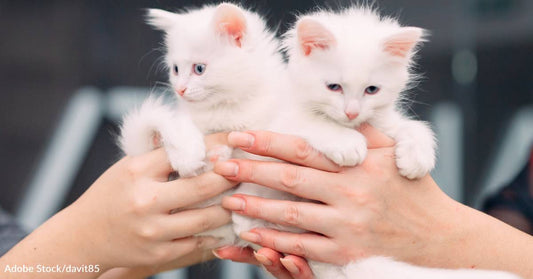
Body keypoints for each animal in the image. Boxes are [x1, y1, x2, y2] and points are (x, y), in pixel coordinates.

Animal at [119, 3, 286, 245]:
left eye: (199, 69)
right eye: (175, 69)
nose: (180, 89)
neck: (225, 109)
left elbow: (260, 173)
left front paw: (246, 214)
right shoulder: (186, 116)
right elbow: (175, 124)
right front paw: (186, 156)